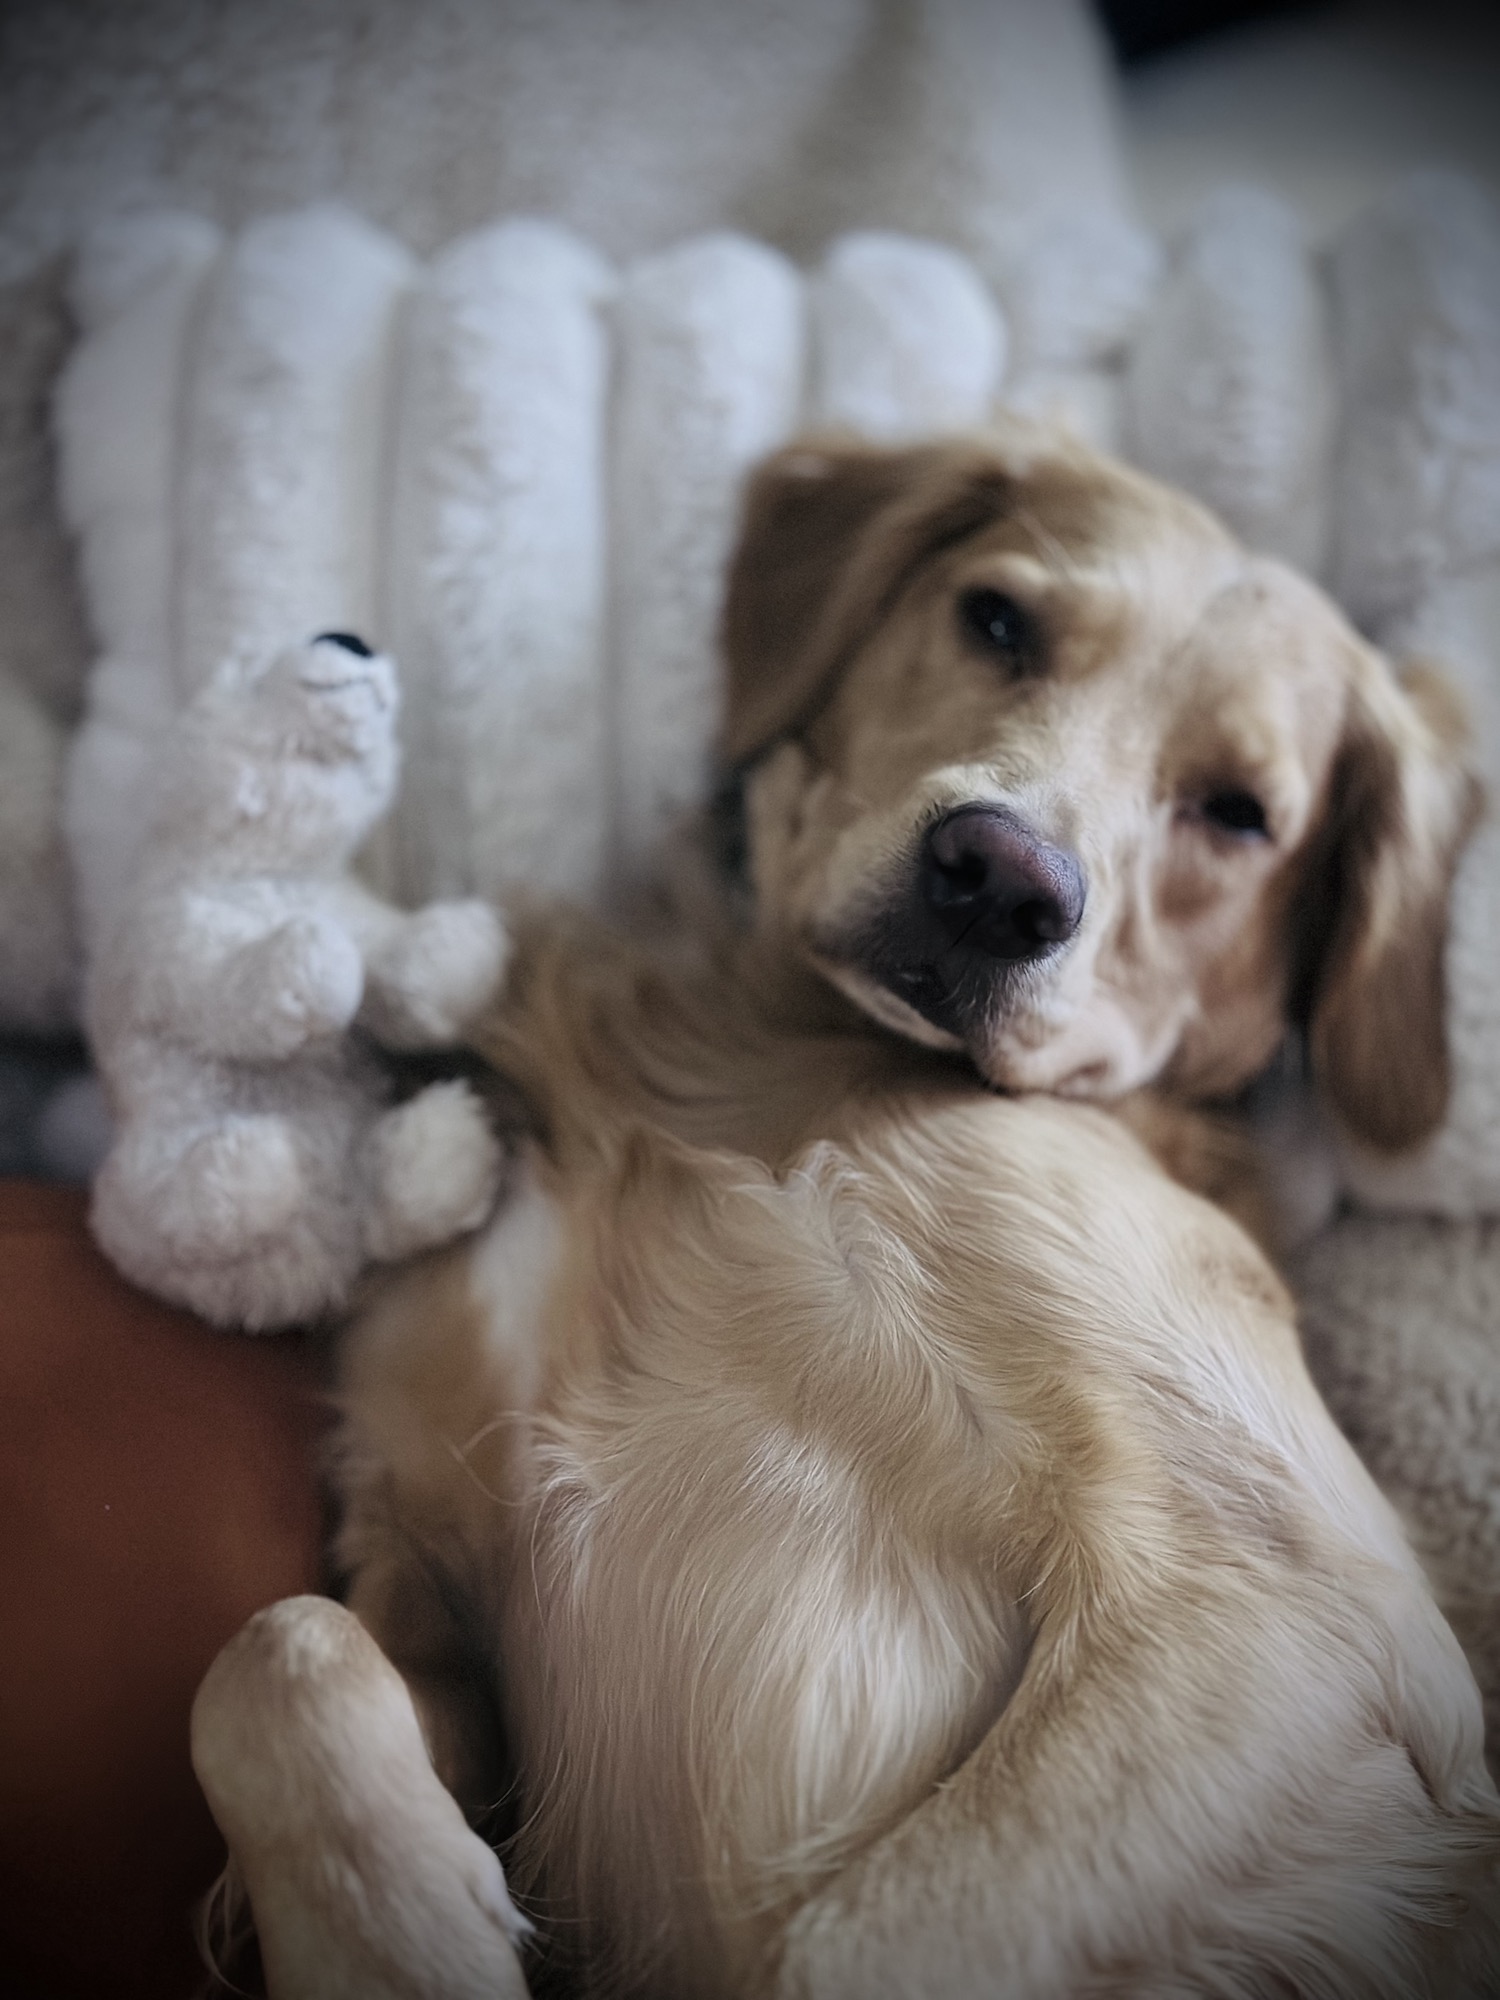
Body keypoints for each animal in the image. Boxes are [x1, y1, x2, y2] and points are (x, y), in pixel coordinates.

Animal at [194, 426, 1496, 2000]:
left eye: (1240, 811)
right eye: (998, 620)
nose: (998, 880)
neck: (752, 1066)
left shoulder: (1286, 1593)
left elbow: (840, 1950)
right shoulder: (426, 1569)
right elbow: (279, 1648)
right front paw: (408, 1929)